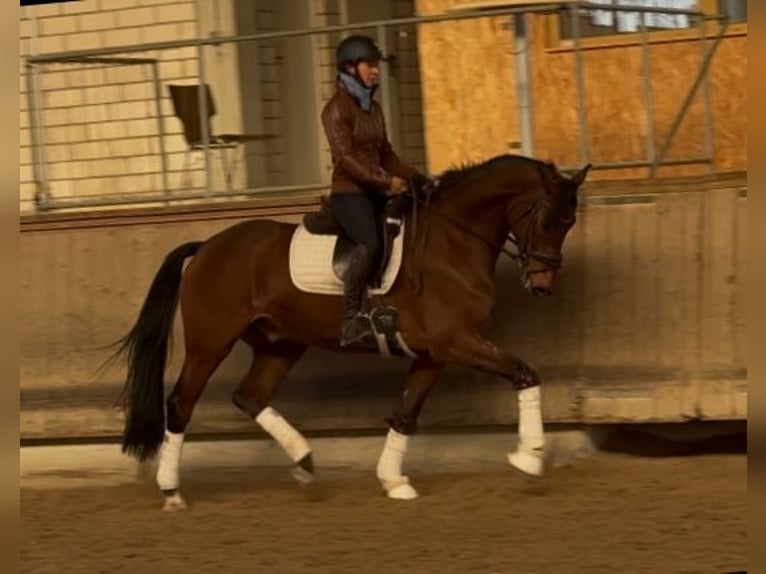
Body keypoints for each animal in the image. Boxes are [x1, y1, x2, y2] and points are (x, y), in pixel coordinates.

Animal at [112, 154, 592, 512]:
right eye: (549, 220)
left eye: (570, 223)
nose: (542, 286)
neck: (452, 243)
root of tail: (208, 247)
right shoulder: (455, 342)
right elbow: (524, 373)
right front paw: (529, 458)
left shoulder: (434, 353)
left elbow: (406, 414)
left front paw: (394, 481)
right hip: (211, 344)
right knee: (181, 405)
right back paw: (172, 491)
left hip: (282, 343)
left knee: (250, 396)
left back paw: (305, 462)